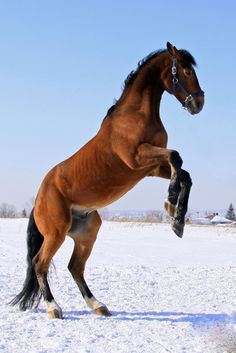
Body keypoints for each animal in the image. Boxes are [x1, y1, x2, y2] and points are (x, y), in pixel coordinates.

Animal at [10, 42, 205, 318]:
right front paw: (170, 203)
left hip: (87, 231)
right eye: (186, 71)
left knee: (75, 267)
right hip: (56, 233)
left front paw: (176, 220)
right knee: (40, 263)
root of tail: (39, 197)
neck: (135, 115)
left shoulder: (152, 168)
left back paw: (98, 305)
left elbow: (184, 173)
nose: (198, 103)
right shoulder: (137, 159)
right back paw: (54, 308)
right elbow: (176, 157)